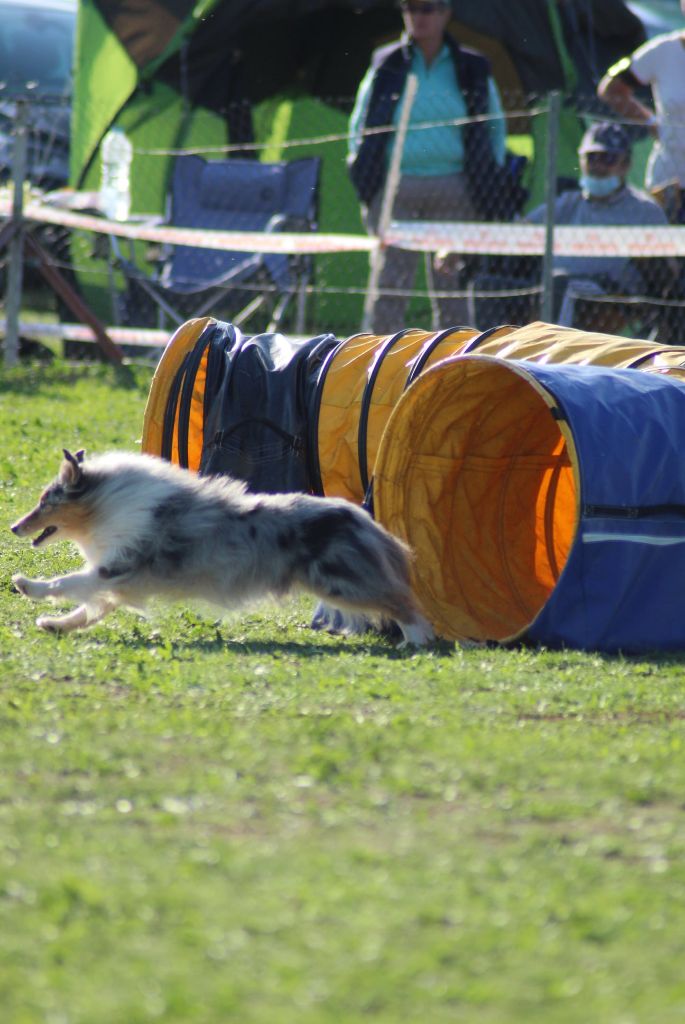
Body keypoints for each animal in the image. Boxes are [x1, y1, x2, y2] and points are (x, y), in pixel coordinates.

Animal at [10, 450, 432, 643]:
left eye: (45, 501)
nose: (14, 526)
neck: (105, 504)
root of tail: (365, 520)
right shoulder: (118, 580)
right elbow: (89, 608)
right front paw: (55, 624)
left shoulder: (117, 566)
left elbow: (67, 582)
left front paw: (27, 586)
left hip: (342, 584)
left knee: (404, 603)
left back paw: (417, 641)